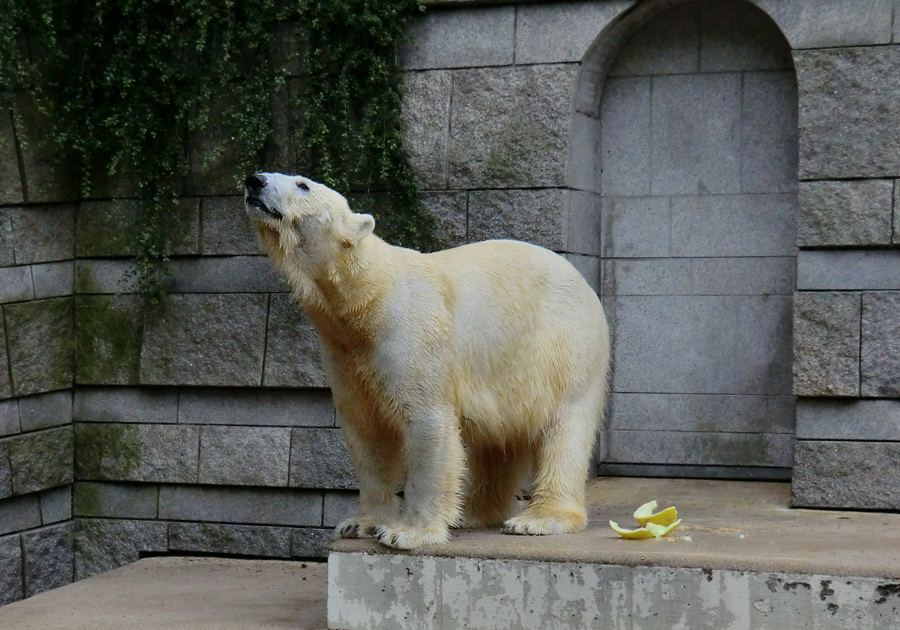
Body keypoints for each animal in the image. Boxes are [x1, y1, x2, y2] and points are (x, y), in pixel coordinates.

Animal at [246, 174, 612, 552]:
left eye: (303, 184)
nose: (254, 181)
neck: (368, 298)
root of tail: (584, 282)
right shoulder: (344, 353)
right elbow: (367, 434)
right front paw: (360, 523)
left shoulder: (411, 335)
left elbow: (426, 424)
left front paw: (406, 532)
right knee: (496, 443)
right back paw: (473, 514)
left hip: (565, 347)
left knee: (565, 427)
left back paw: (539, 519)